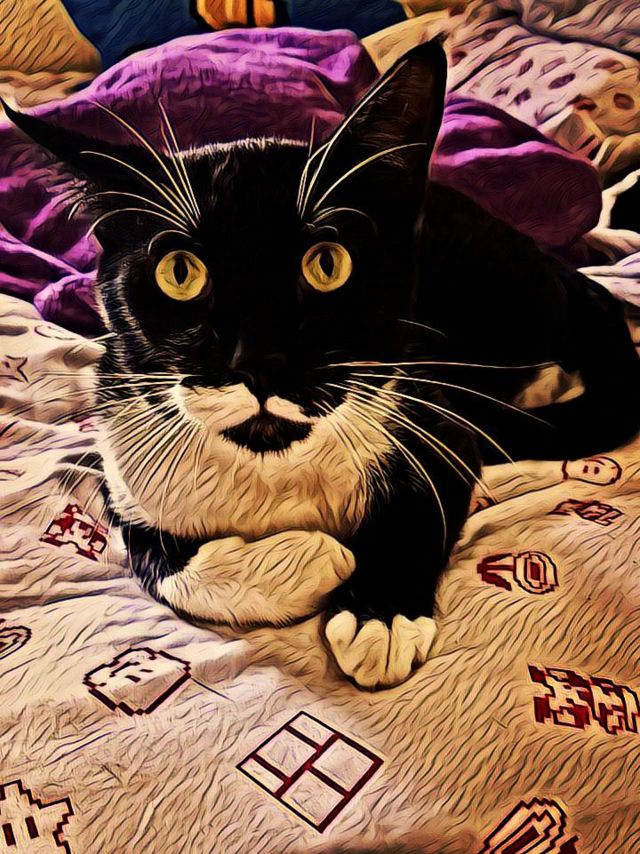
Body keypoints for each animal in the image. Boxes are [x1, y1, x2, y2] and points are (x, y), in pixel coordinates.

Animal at [6, 40, 640, 689]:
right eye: (179, 272)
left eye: (327, 264)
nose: (260, 363)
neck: (272, 468)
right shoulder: (121, 462)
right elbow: (153, 561)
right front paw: (312, 560)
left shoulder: (435, 420)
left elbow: (424, 509)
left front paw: (379, 617)